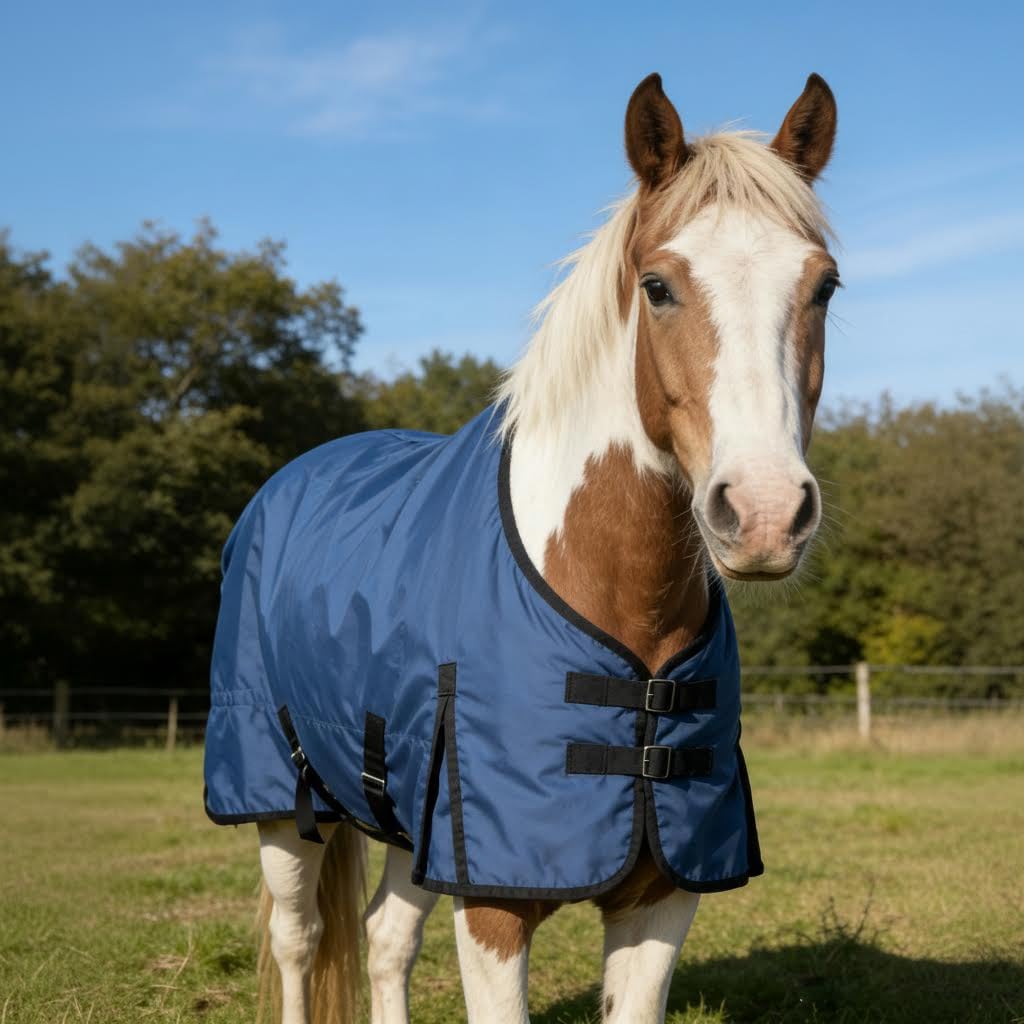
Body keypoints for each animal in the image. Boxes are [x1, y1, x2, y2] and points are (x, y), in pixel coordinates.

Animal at [211, 71, 839, 1024]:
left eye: (824, 287)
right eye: (658, 286)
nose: (765, 512)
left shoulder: (660, 897)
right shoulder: (494, 901)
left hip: (416, 818)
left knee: (386, 940)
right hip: (281, 801)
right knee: (301, 940)